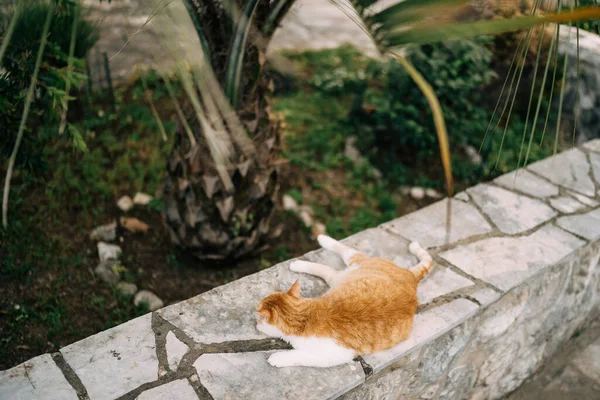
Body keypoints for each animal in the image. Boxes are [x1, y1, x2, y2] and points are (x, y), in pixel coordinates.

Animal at [255, 234, 434, 368]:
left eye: (259, 318)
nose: (255, 323)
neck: (305, 318)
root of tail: (410, 277)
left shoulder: (335, 355)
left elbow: (301, 355)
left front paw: (278, 357)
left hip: (352, 266)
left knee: (345, 253)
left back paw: (322, 240)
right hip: (340, 279)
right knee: (331, 267)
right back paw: (306, 257)